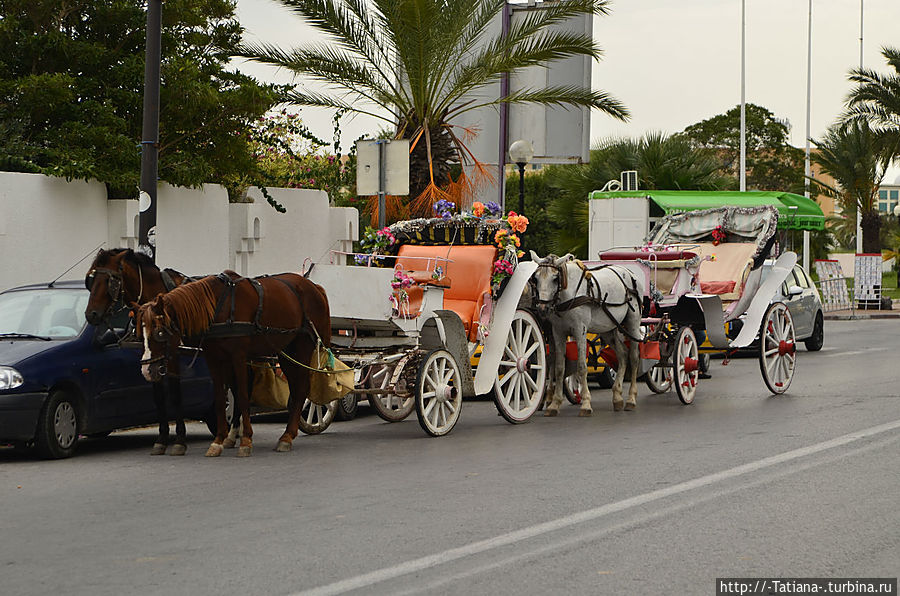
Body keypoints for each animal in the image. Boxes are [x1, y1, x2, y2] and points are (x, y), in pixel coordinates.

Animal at [83, 247, 201, 456]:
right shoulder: (151, 356)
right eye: (91, 280)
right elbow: (158, 396)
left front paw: (179, 440)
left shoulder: (173, 353)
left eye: (110, 281)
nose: (91, 314)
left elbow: (175, 395)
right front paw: (161, 439)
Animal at [134, 270, 330, 456]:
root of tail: (314, 286)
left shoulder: (238, 356)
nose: (147, 370)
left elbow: (242, 396)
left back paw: (287, 436)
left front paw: (246, 440)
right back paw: (287, 434)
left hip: (303, 346)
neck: (218, 307)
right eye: (140, 334)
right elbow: (220, 398)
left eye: (159, 333)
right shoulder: (214, 359)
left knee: (302, 388)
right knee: (296, 389)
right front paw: (219, 440)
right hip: (287, 351)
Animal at [532, 251, 644, 414]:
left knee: (634, 357)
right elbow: (559, 367)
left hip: (633, 324)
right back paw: (617, 397)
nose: (542, 308)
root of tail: (628, 272)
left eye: (555, 278)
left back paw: (631, 399)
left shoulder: (580, 331)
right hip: (608, 329)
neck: (569, 294)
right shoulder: (558, 332)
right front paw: (555, 404)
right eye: (536, 278)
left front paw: (585, 403)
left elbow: (581, 367)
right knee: (623, 355)